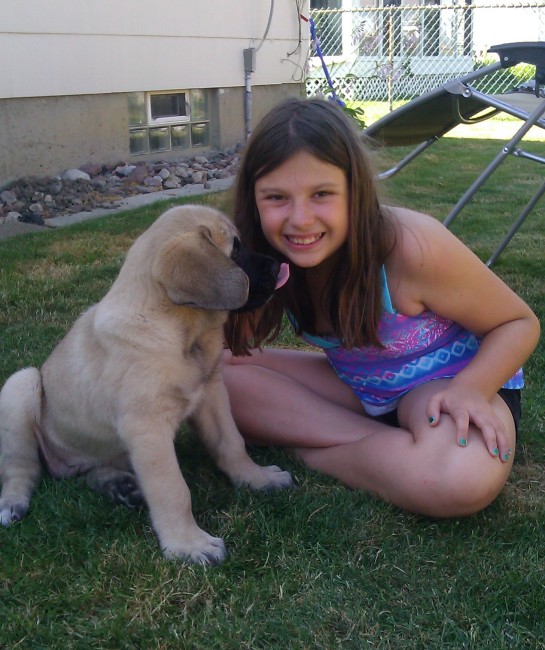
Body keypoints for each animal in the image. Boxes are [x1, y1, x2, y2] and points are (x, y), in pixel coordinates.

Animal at [0, 205, 294, 564]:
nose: (279, 266)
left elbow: (231, 444)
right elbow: (173, 489)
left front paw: (257, 479)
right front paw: (187, 544)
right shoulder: (147, 427)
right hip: (20, 384)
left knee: (88, 472)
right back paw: (13, 502)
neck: (180, 331)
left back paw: (119, 487)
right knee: (21, 466)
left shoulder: (211, 394)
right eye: (236, 249)